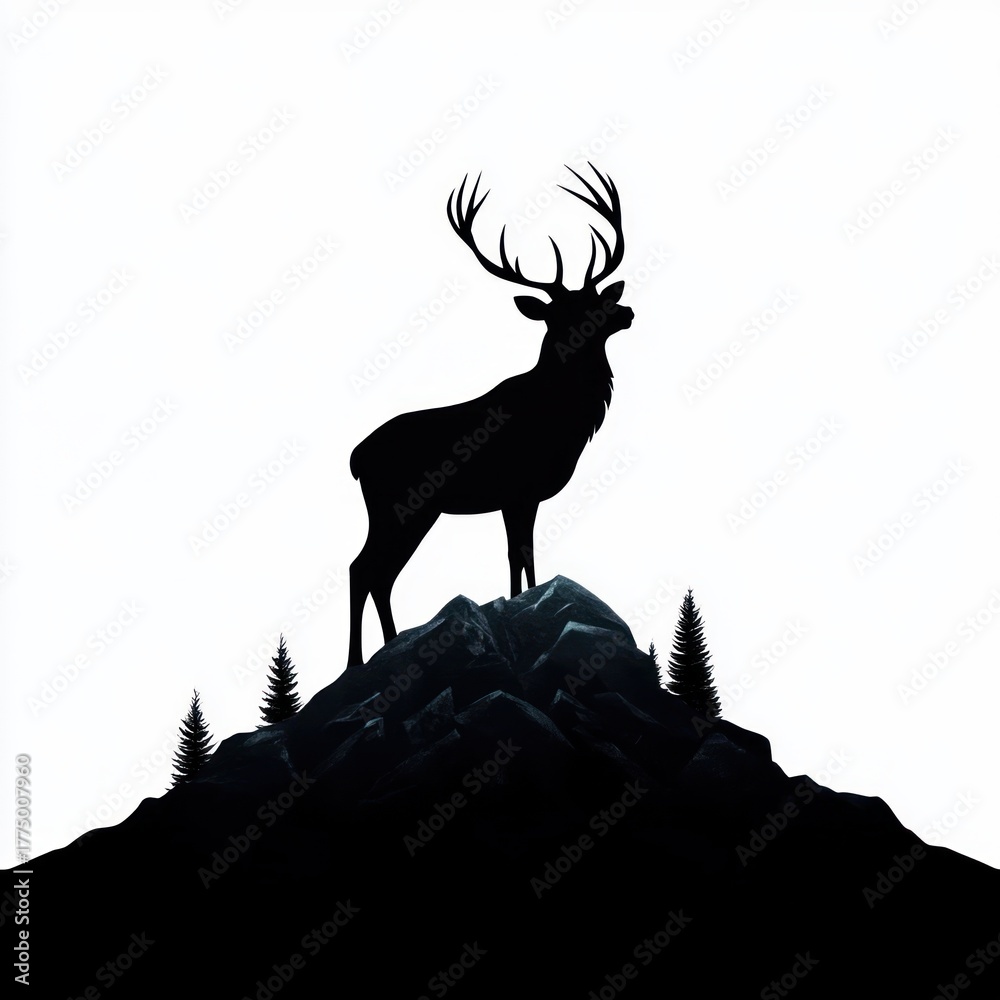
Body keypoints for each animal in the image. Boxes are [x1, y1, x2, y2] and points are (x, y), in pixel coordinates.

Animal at [347, 162, 633, 666]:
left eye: (601, 299)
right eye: (562, 312)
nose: (628, 311)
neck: (564, 420)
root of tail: (355, 459)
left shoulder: (516, 497)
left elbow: (519, 557)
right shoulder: (519, 489)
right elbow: (522, 555)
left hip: (413, 512)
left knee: (380, 573)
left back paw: (389, 645)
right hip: (397, 505)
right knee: (362, 568)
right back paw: (355, 662)